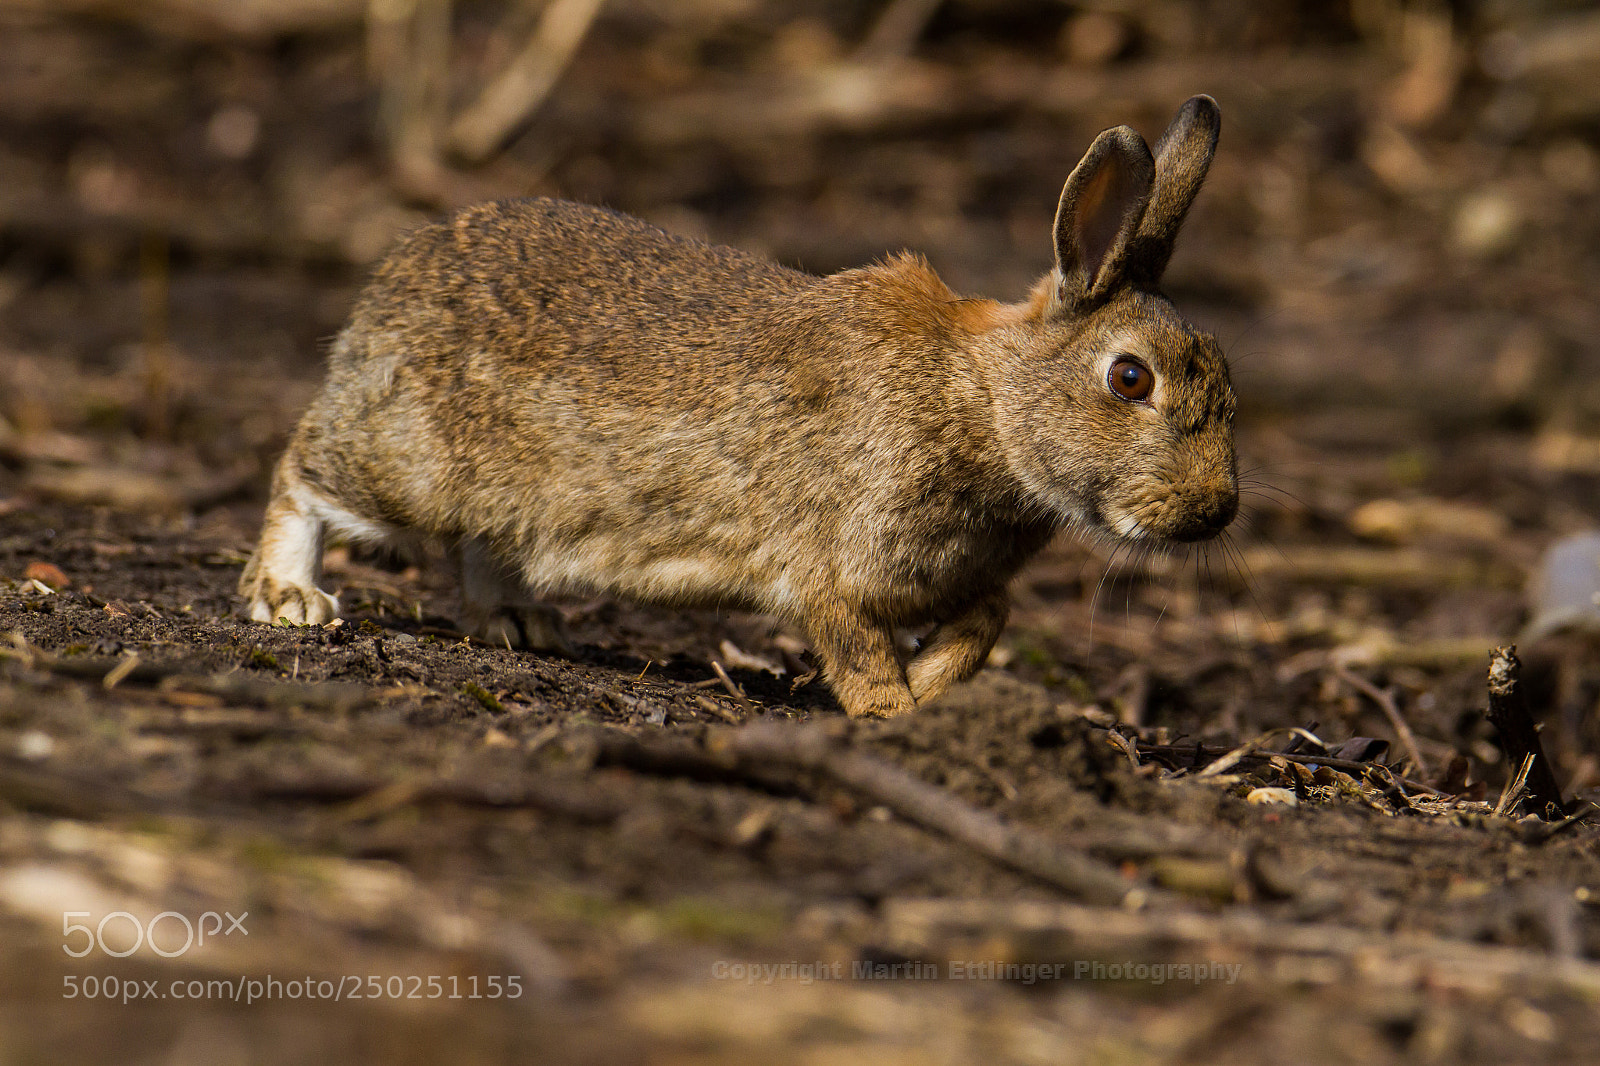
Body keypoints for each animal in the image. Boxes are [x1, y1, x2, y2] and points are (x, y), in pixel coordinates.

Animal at [240, 95, 1237, 719]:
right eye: (1130, 379)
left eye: (1225, 377)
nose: (1214, 511)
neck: (982, 402)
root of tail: (392, 279)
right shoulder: (834, 565)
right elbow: (853, 641)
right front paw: (891, 710)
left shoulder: (955, 577)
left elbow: (989, 623)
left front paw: (930, 689)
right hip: (409, 463)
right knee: (302, 466)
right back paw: (289, 598)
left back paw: (521, 622)